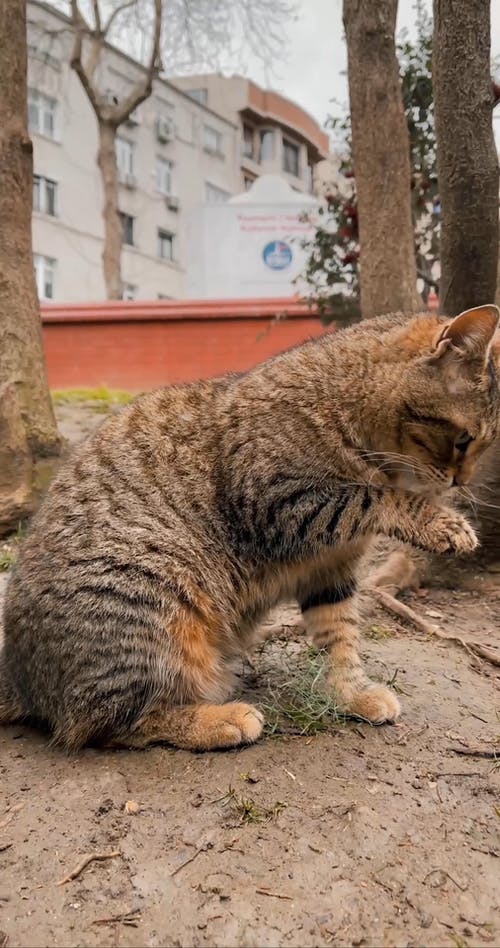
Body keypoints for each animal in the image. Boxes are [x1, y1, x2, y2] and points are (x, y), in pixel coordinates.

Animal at [0, 308, 498, 752]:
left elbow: (340, 635)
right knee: (110, 723)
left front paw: (352, 693)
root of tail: (22, 681)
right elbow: (373, 497)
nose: (463, 482)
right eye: (464, 441)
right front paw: (441, 522)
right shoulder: (279, 503)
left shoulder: (331, 570)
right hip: (151, 593)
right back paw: (218, 720)